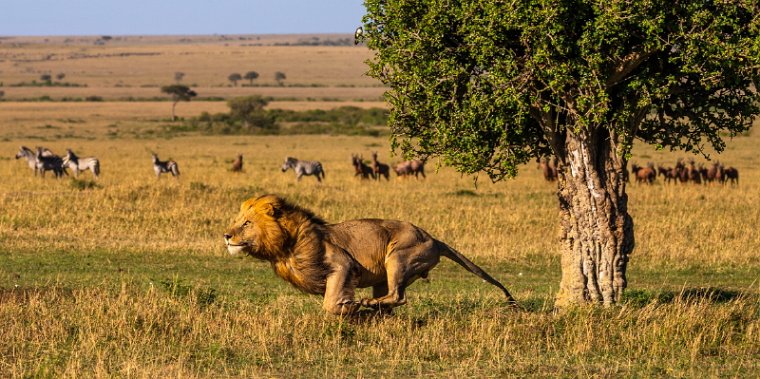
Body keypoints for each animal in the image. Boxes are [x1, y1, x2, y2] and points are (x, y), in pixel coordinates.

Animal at [221, 194, 516, 316]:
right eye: (237, 221)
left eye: (246, 223)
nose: (226, 235)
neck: (285, 247)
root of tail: (434, 239)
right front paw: (352, 308)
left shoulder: (342, 264)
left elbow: (331, 302)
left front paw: (348, 307)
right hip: (384, 275)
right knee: (394, 298)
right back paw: (376, 309)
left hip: (398, 256)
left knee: (399, 296)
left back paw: (368, 304)